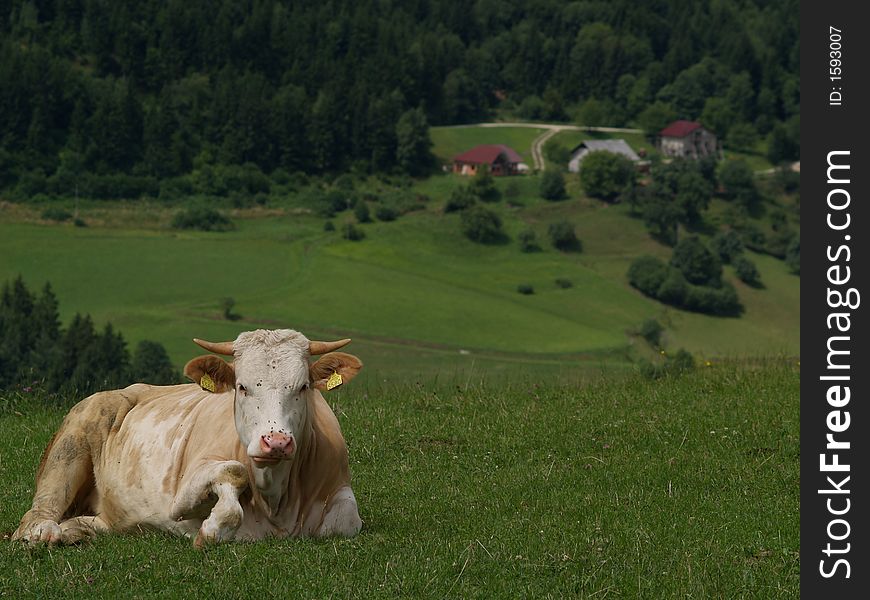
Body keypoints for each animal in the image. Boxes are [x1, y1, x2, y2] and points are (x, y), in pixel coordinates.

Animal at [11, 330, 364, 548]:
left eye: (303, 387)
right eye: (242, 387)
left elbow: (346, 522)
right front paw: (212, 524)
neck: (277, 500)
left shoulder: (340, 492)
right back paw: (45, 533)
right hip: (72, 442)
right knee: (37, 514)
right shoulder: (189, 479)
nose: (275, 441)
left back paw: (75, 531)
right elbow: (232, 472)